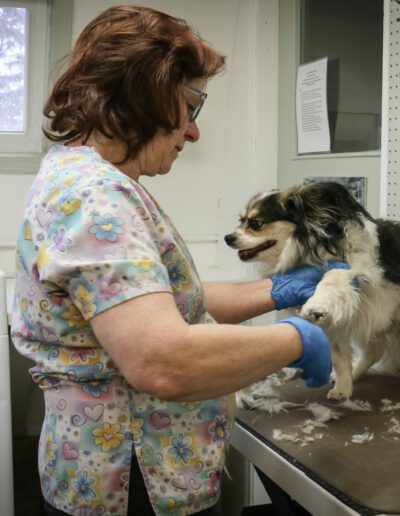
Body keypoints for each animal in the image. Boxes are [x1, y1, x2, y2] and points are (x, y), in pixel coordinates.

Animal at [225, 181, 400, 400]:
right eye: (241, 221)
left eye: (256, 223)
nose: (227, 237)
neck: (309, 250)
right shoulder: (336, 323)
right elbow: (339, 357)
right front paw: (343, 388)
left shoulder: (359, 270)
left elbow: (333, 275)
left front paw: (318, 303)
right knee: (374, 351)